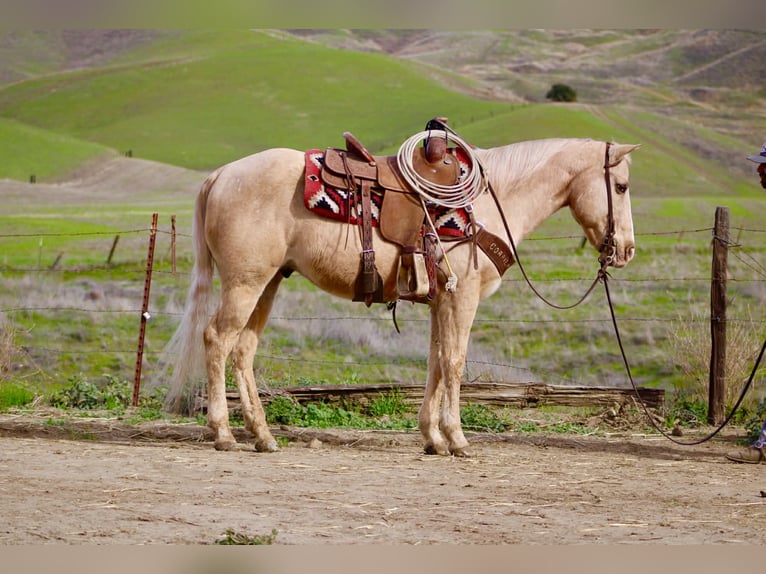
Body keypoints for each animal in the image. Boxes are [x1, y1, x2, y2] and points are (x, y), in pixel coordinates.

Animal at [163, 137, 639, 456]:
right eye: (621, 187)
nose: (627, 250)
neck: (490, 201)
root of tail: (221, 175)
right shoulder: (462, 298)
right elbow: (455, 363)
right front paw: (457, 439)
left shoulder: (440, 301)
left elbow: (436, 363)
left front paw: (432, 438)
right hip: (245, 283)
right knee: (216, 339)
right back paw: (223, 434)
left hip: (269, 282)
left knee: (243, 349)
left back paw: (262, 436)